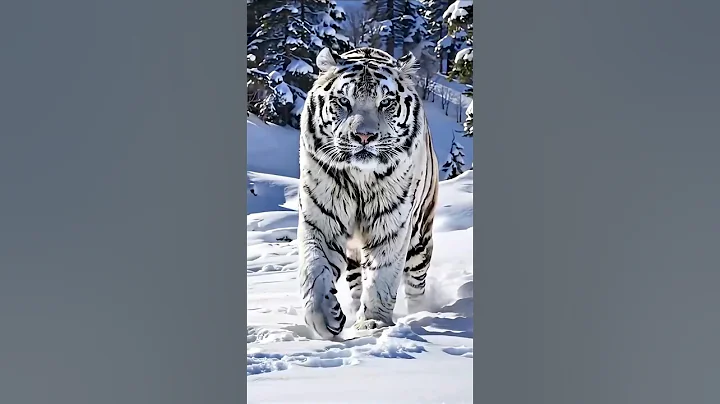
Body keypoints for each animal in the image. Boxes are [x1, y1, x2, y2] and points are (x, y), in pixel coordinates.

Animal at [297, 47, 440, 340]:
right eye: (343, 101)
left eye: (385, 103)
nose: (364, 136)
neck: (360, 178)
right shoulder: (320, 218)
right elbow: (314, 270)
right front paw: (327, 319)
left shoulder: (392, 224)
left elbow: (382, 276)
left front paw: (373, 323)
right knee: (355, 281)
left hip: (420, 239)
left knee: (415, 284)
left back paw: (419, 314)